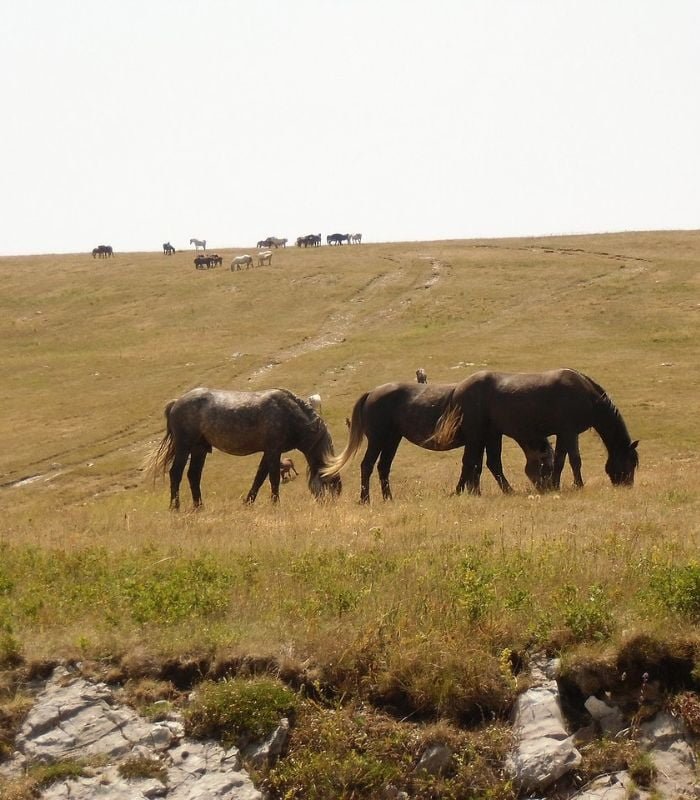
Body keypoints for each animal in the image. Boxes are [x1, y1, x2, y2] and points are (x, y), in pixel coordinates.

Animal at [150, 386, 342, 510]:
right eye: (331, 485)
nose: (331, 505)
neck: (289, 414)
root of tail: (176, 402)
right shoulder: (274, 451)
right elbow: (273, 478)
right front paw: (275, 504)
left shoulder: (268, 452)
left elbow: (259, 477)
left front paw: (248, 502)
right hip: (184, 446)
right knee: (176, 473)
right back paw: (175, 507)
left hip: (199, 449)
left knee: (193, 475)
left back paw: (199, 507)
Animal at [320, 382, 556, 500]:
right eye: (546, 464)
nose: (548, 489)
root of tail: (371, 393)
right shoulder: (481, 438)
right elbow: (483, 464)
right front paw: (501, 491)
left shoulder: (485, 438)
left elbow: (478, 465)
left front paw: (472, 491)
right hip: (378, 440)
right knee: (367, 466)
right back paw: (365, 499)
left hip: (392, 440)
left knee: (383, 467)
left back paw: (388, 498)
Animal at [432, 370, 640, 494]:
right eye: (629, 462)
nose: (627, 485)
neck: (587, 396)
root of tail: (458, 389)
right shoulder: (569, 431)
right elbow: (573, 459)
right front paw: (577, 485)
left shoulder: (565, 433)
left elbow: (562, 459)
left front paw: (557, 485)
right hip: (477, 435)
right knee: (471, 462)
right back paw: (460, 491)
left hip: (490, 434)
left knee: (486, 463)